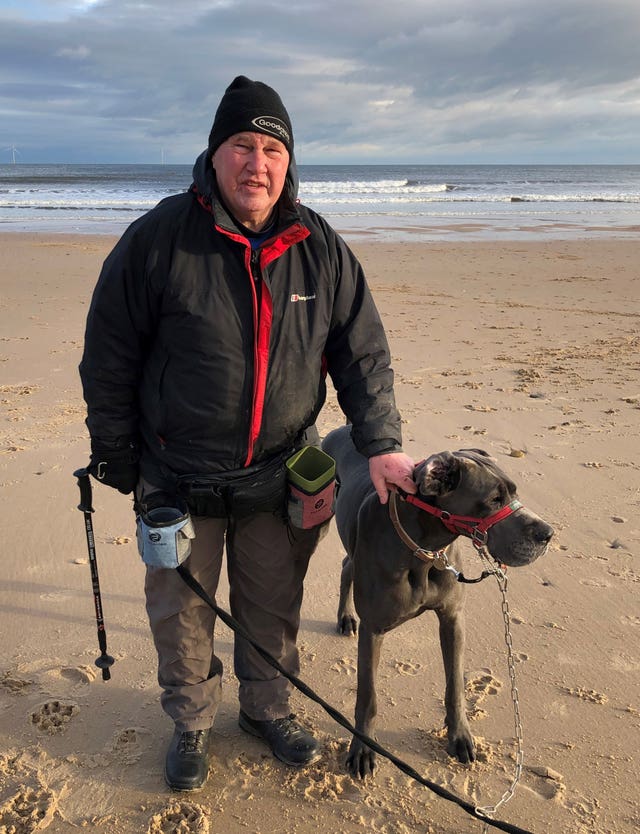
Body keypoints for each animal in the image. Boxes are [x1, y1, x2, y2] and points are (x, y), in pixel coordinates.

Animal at [322, 426, 552, 776]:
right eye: (493, 500)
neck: (423, 550)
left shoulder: (453, 618)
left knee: (348, 564)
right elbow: (368, 696)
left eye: (513, 491)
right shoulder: (373, 630)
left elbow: (455, 684)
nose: (547, 533)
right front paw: (363, 749)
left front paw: (460, 736)